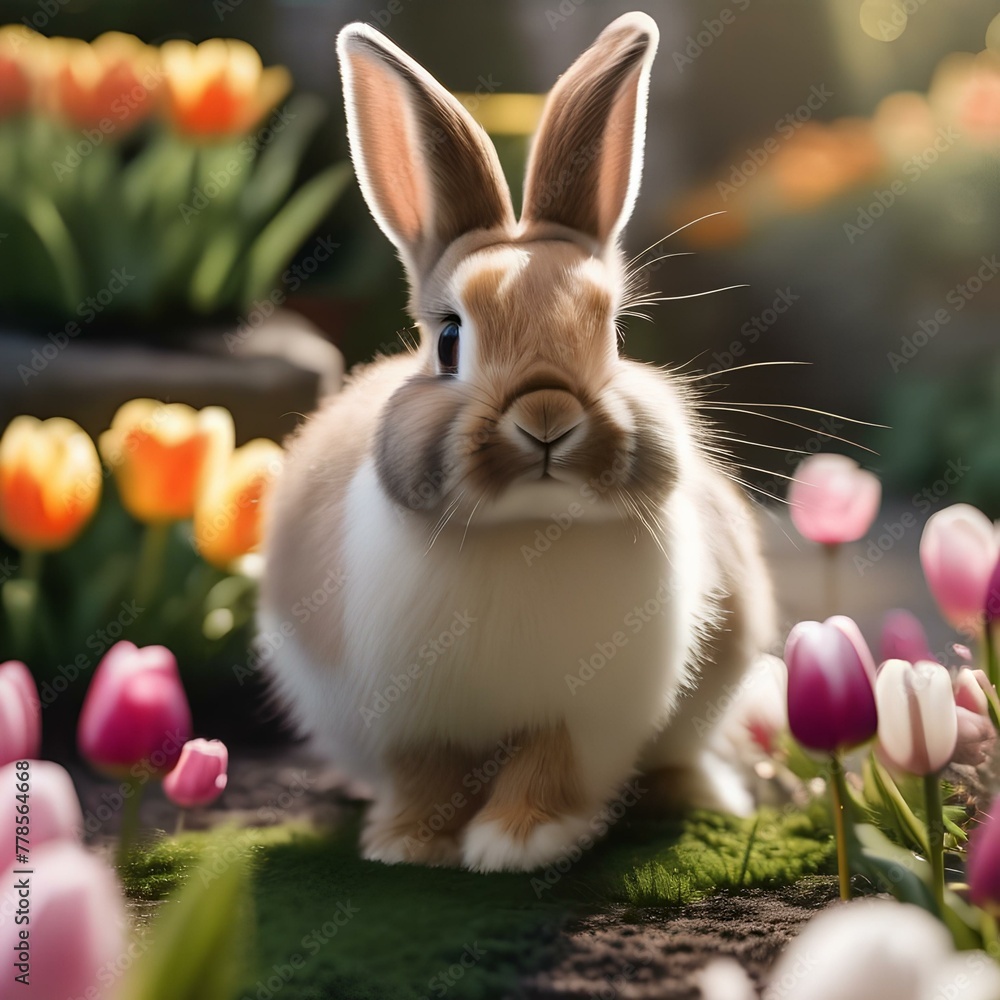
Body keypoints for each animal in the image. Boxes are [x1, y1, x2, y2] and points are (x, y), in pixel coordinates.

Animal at [259, 11, 777, 873]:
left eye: (615, 333)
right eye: (448, 340)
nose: (546, 419)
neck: (523, 530)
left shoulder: (582, 714)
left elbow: (549, 763)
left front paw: (519, 843)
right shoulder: (408, 716)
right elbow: (425, 775)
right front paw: (407, 846)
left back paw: (693, 795)